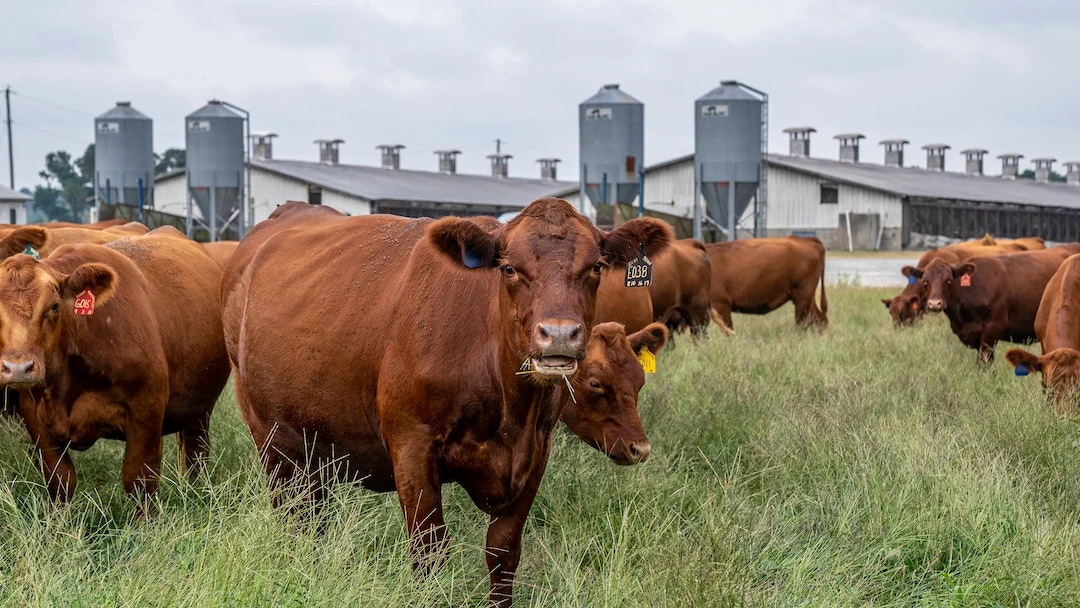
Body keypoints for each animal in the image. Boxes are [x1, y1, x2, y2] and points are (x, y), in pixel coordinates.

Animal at [0, 226, 230, 514]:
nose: (18, 368)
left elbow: (139, 481)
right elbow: (59, 481)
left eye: (54, 306)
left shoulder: (146, 411)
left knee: (195, 452)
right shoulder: (35, 418)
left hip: (200, 407)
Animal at [222, 198, 669, 604]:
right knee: (294, 517)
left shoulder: (536, 453)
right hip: (272, 440)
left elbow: (504, 553)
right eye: (509, 268)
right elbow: (429, 554)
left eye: (595, 267)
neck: (510, 412)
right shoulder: (412, 450)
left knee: (314, 519)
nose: (558, 334)